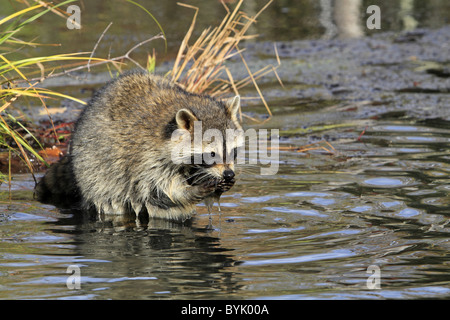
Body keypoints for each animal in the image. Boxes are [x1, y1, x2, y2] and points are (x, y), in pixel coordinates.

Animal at [34, 70, 243, 220]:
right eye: (212, 154)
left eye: (233, 152)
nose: (229, 174)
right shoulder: (145, 157)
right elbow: (160, 190)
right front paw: (192, 190)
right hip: (95, 176)